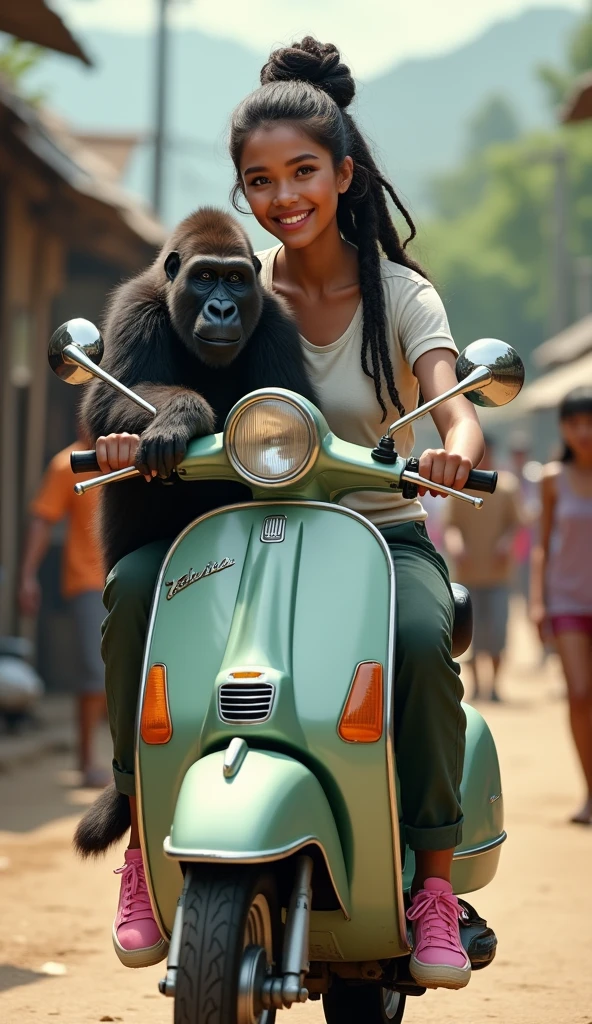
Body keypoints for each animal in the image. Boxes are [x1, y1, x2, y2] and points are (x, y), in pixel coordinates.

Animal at [81, 207, 317, 573]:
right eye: (205, 276)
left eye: (235, 279)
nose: (221, 309)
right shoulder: (135, 306)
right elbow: (111, 399)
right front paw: (182, 414)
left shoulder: (277, 322)